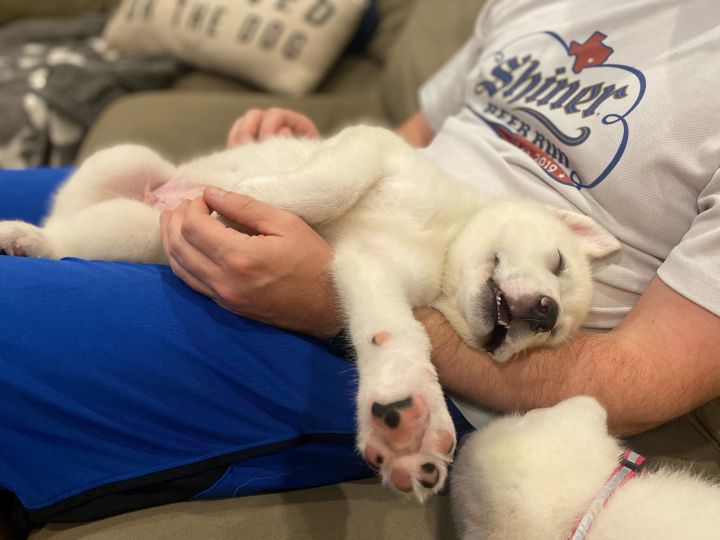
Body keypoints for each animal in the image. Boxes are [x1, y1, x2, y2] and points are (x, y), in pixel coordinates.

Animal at [0, 124, 620, 500]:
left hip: (131, 231)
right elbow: (328, 185)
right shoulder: (371, 148)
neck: (441, 248)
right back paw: (32, 232)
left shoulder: (370, 272)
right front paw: (253, 197)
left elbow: (396, 339)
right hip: (124, 161)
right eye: (560, 264)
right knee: (69, 220)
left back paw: (30, 242)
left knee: (73, 237)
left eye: (549, 339)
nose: (544, 313)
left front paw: (408, 422)